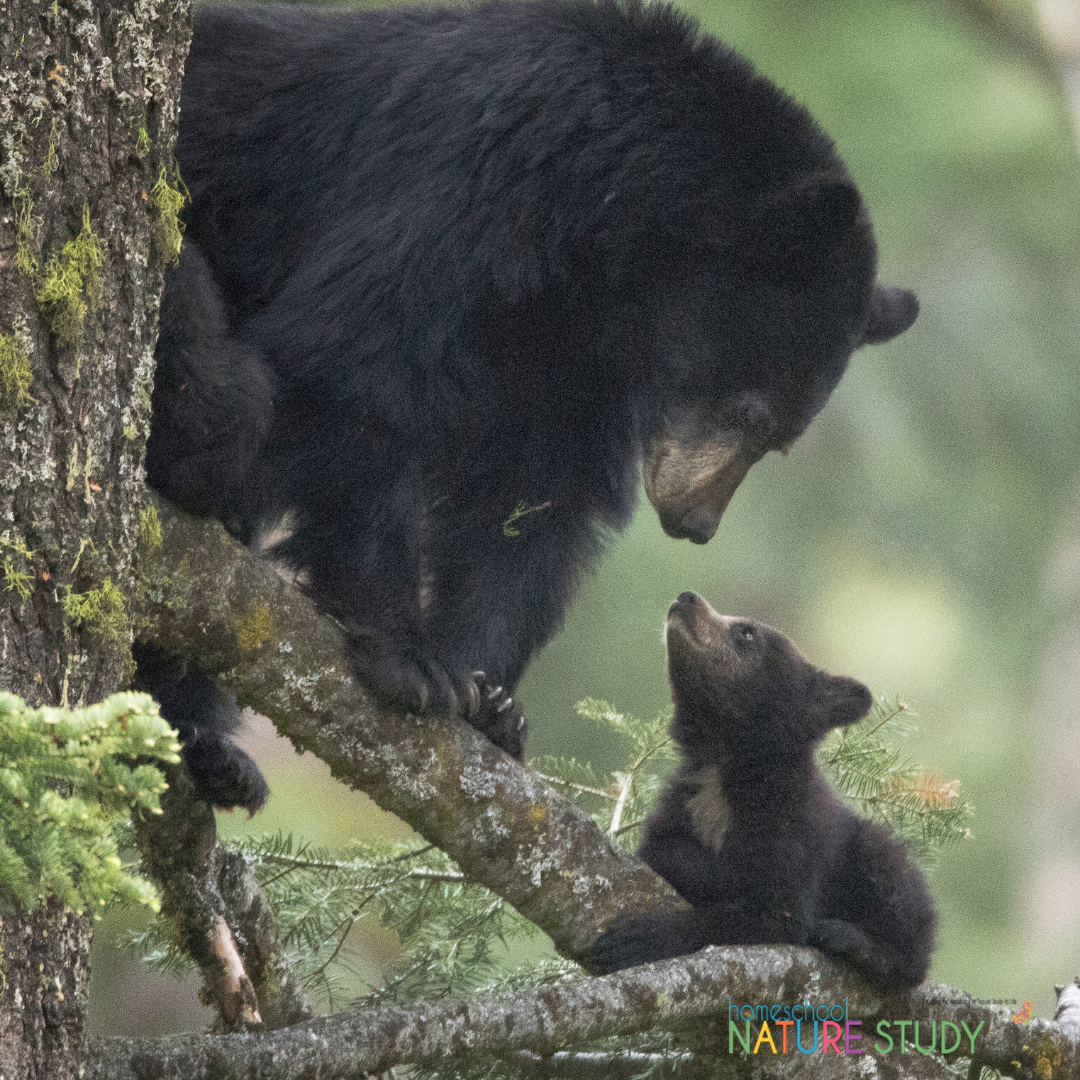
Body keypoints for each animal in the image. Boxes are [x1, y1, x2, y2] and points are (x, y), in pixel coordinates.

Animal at [141, 2, 920, 812]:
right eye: (752, 413)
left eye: (781, 441)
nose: (695, 523)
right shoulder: (465, 176)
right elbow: (357, 358)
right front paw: (408, 655)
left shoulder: (571, 351)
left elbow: (533, 500)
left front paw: (489, 701)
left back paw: (208, 753)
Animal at [583, 596, 937, 989]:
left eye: (747, 632)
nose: (686, 598)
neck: (725, 766)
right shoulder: (683, 804)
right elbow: (661, 851)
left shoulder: (792, 827)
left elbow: (773, 913)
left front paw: (638, 937)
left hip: (873, 857)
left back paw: (856, 941)